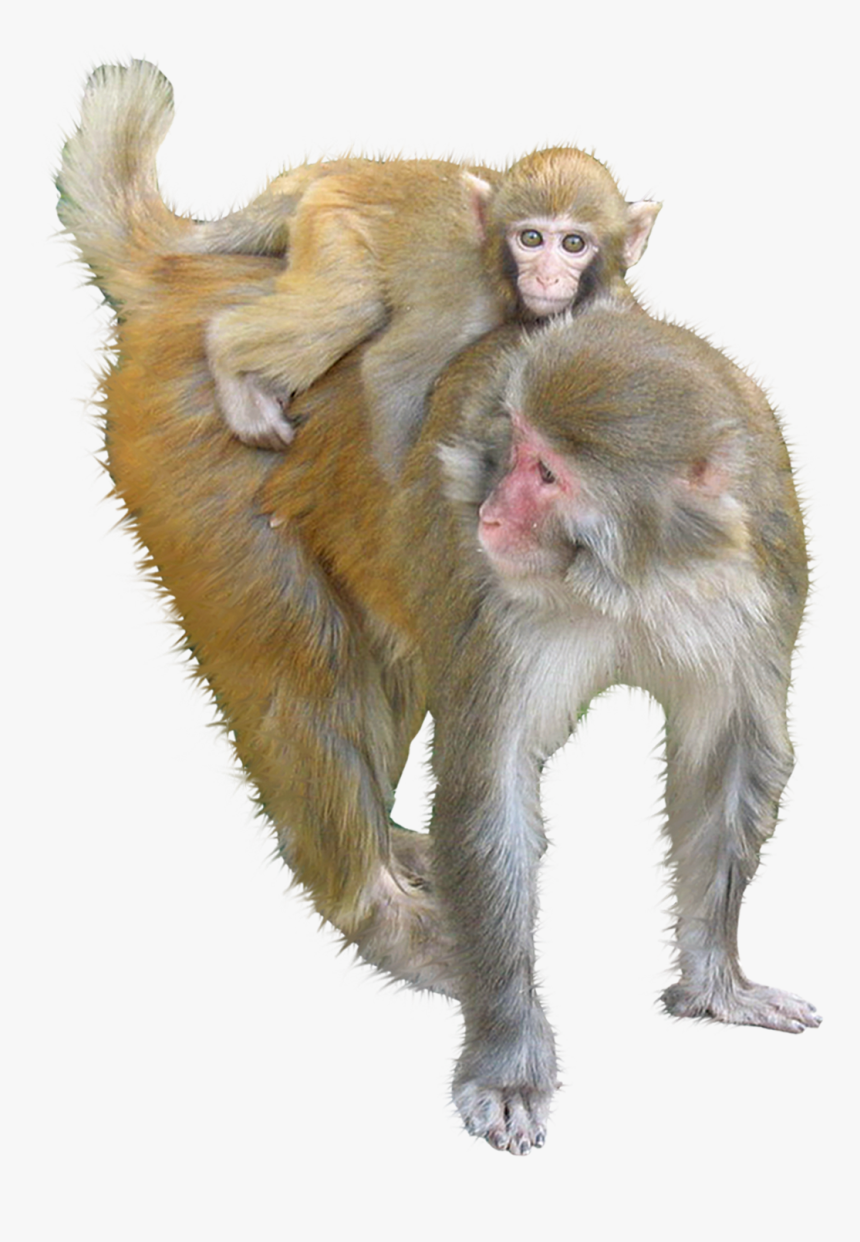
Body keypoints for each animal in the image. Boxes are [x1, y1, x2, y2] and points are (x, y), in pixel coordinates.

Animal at [58, 61, 819, 1155]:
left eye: (546, 474)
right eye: (514, 443)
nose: (489, 505)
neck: (628, 573)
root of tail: (190, 284)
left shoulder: (753, 589)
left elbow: (726, 762)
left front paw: (718, 983)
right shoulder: (507, 613)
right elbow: (487, 791)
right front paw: (506, 1056)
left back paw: (391, 850)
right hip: (195, 457)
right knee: (305, 679)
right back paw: (384, 913)